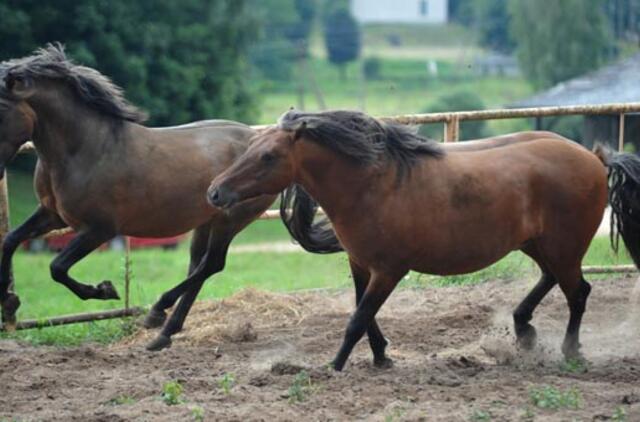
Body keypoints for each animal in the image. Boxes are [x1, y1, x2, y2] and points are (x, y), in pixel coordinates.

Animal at [0, 44, 272, 352]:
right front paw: (9, 303)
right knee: (199, 266)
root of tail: (260, 138)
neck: (84, 150)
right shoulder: (52, 214)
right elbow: (10, 240)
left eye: (2, 108)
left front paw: (104, 290)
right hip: (206, 221)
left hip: (232, 218)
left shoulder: (100, 229)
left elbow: (56, 267)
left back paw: (156, 312)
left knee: (212, 264)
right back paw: (163, 334)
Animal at [211, 109, 640, 370]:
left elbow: (357, 319)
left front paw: (333, 366)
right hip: (538, 244)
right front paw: (381, 357)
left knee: (578, 292)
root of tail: (595, 159)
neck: (373, 184)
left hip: (564, 247)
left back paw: (569, 351)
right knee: (551, 280)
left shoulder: (389, 270)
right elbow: (364, 315)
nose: (215, 192)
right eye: (251, 148)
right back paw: (523, 332)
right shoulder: (361, 264)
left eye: (268, 156)